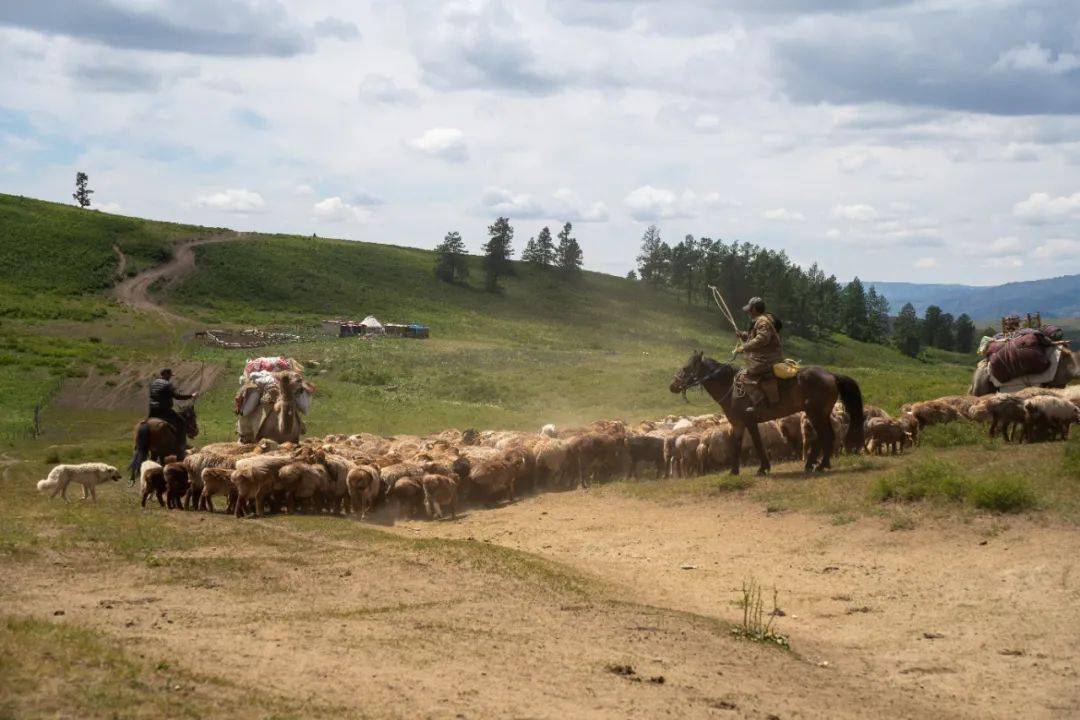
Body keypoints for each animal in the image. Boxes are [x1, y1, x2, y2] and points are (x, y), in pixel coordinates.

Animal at [669, 351, 864, 474]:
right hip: (822, 414)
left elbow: (757, 443)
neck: (730, 387)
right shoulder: (738, 424)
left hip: (815, 414)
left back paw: (816, 465)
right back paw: (821, 464)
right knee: (826, 437)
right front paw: (734, 471)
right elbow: (736, 445)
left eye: (686, 368)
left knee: (823, 437)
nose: (673, 386)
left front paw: (762, 468)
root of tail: (831, 375)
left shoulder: (749, 421)